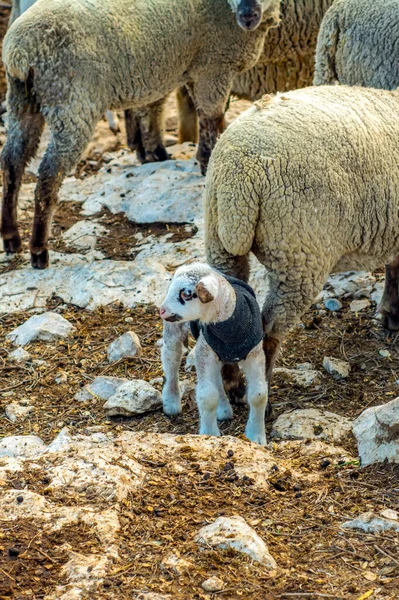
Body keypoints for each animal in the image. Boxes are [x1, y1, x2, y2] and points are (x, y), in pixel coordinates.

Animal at [0, 0, 282, 268]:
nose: (248, 16)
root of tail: (21, 52)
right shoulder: (214, 66)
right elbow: (214, 119)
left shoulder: (198, 69)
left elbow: (205, 120)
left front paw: (204, 161)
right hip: (71, 99)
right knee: (49, 174)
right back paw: (38, 250)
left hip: (23, 99)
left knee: (12, 161)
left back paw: (11, 237)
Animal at [159, 262, 268, 446]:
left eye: (186, 293)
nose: (162, 310)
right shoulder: (204, 352)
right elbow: (207, 396)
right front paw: (209, 435)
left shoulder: (255, 354)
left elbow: (258, 395)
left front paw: (256, 436)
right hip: (175, 330)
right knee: (171, 358)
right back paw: (171, 402)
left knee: (216, 377)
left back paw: (223, 409)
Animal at [162, 85, 399, 418]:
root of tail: (239, 173)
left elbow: (394, 264)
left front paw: (391, 314)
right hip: (299, 250)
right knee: (268, 328)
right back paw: (258, 396)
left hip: (220, 240)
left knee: (224, 313)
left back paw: (232, 384)